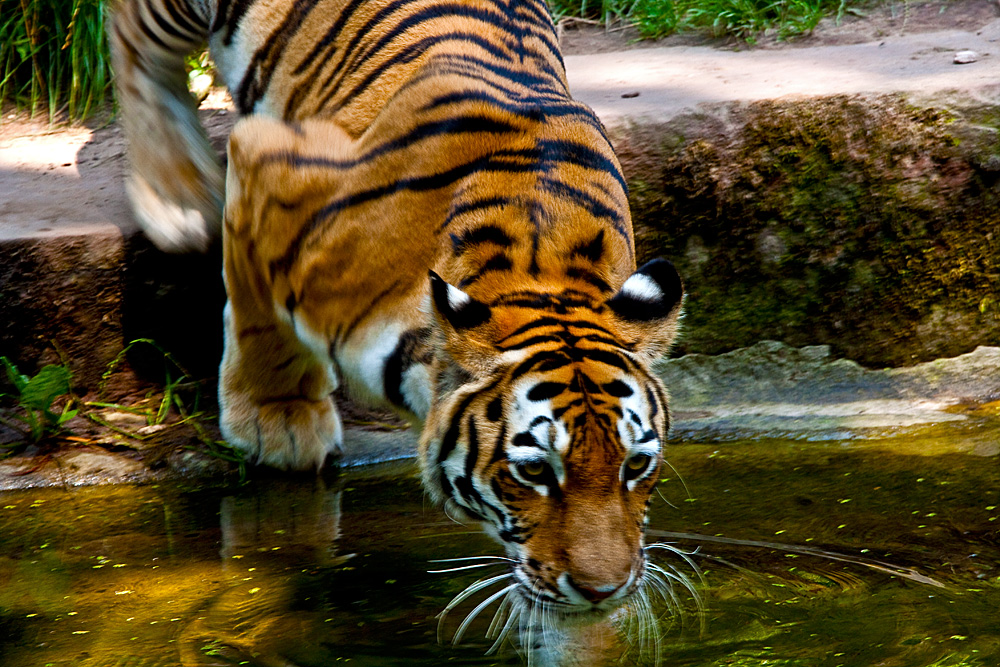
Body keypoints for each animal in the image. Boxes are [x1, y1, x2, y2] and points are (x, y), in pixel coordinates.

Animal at [111, 0, 688, 632]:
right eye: (534, 471)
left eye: (636, 465)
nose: (602, 590)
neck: (542, 277)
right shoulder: (272, 159)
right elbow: (262, 319)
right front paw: (278, 421)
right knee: (132, 40)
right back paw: (177, 199)